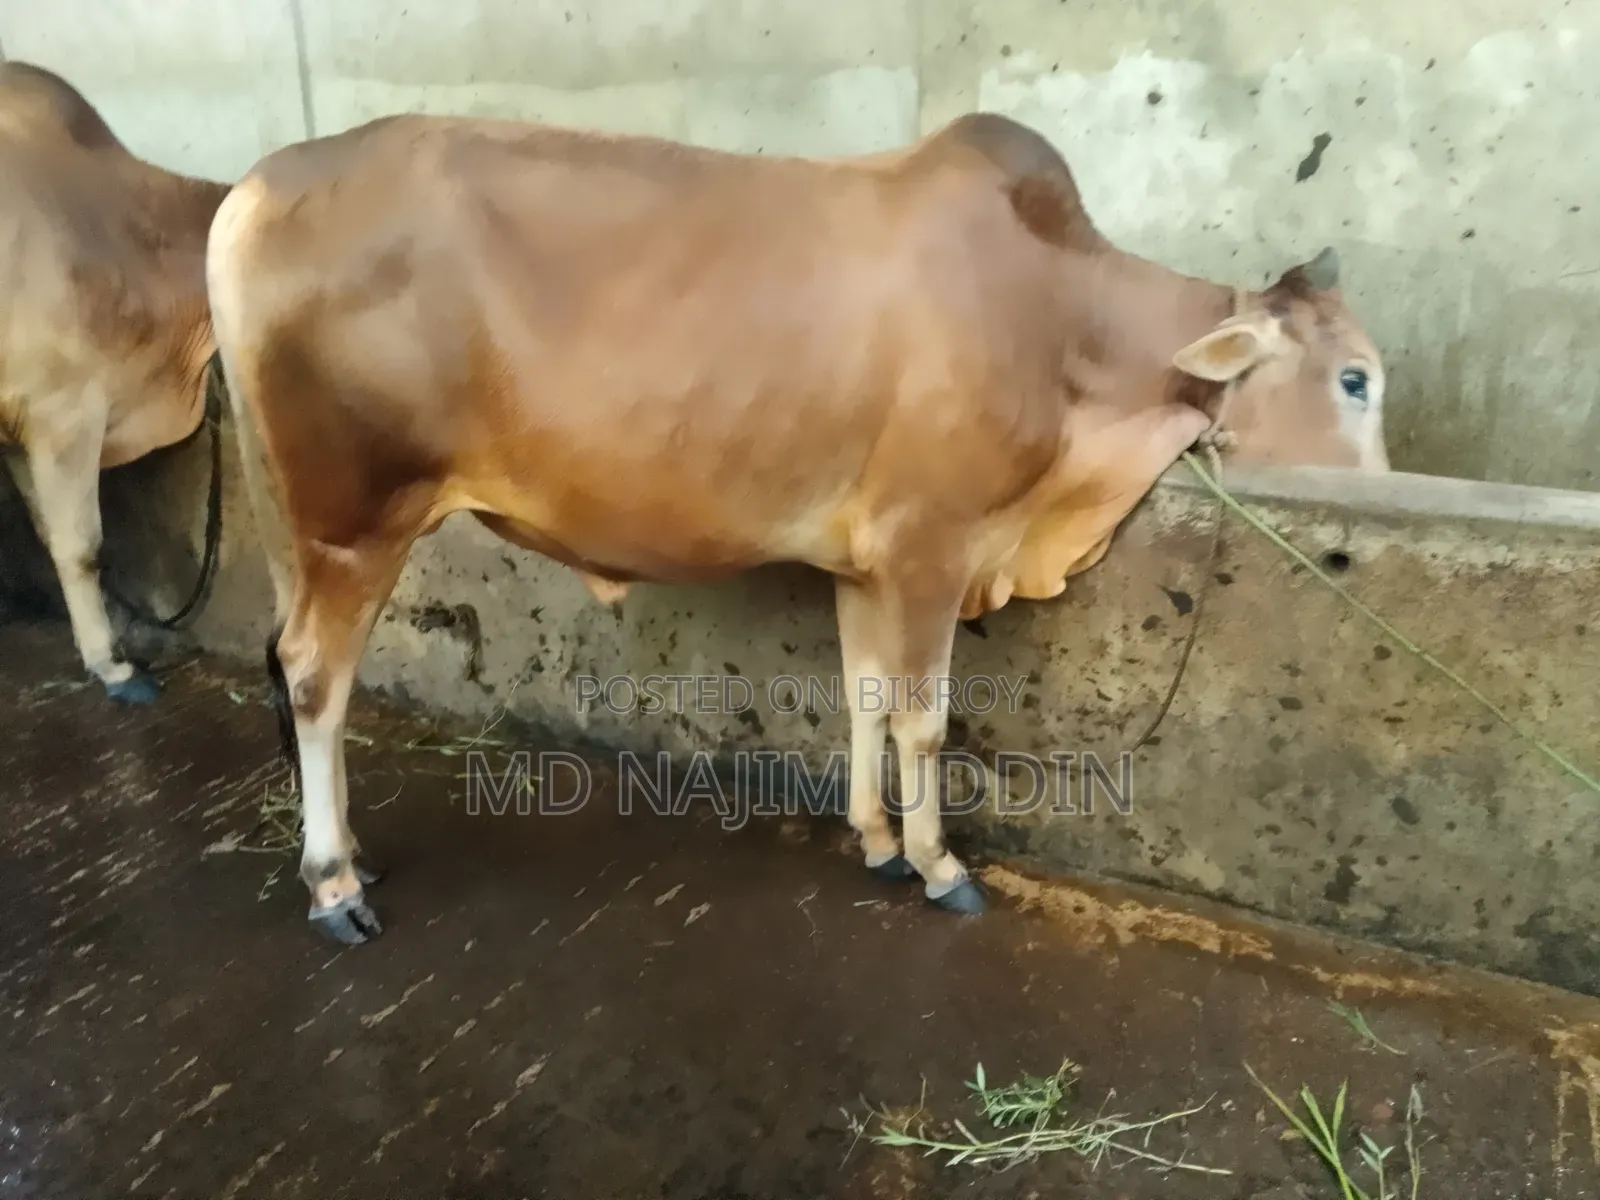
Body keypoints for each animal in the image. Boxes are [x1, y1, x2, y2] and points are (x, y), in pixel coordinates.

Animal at [207, 110, 1390, 944]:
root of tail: (255, 190)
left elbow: (862, 695)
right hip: (355, 521)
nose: (1386, 483)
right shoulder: (929, 547)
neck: (1059, 323)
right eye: (1355, 379)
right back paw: (333, 885)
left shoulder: (864, 563)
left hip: (297, 523)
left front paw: (875, 840)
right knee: (314, 677)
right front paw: (940, 867)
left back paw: (351, 851)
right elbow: (923, 718)